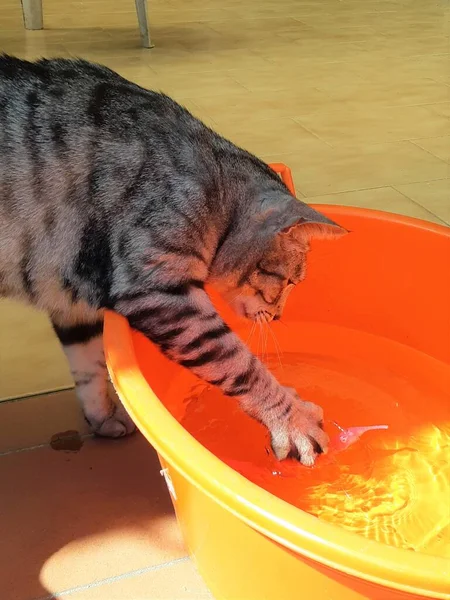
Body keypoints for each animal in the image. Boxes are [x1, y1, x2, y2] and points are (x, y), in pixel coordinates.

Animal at [0, 56, 346, 466]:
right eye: (291, 281)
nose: (278, 317)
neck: (214, 187)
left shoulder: (71, 298)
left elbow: (88, 368)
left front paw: (102, 417)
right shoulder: (158, 288)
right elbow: (238, 361)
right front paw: (292, 420)